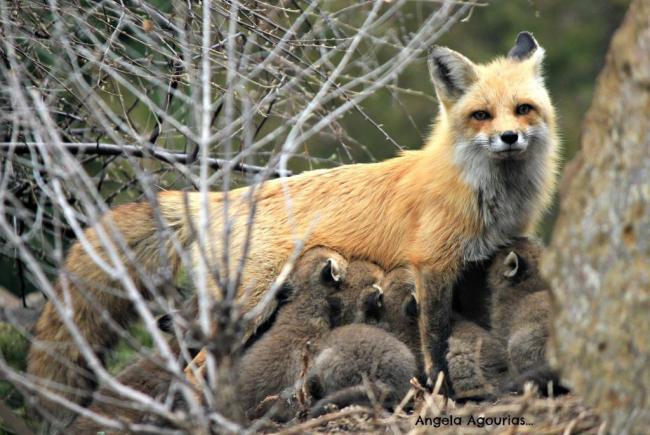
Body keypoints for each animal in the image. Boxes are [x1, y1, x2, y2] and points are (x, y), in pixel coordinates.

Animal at [27, 31, 556, 418]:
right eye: (481, 115)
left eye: (523, 109)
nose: (509, 137)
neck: (483, 193)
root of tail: (220, 198)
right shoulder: (433, 268)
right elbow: (437, 344)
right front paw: (438, 395)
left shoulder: (474, 265)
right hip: (246, 309)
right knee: (194, 371)